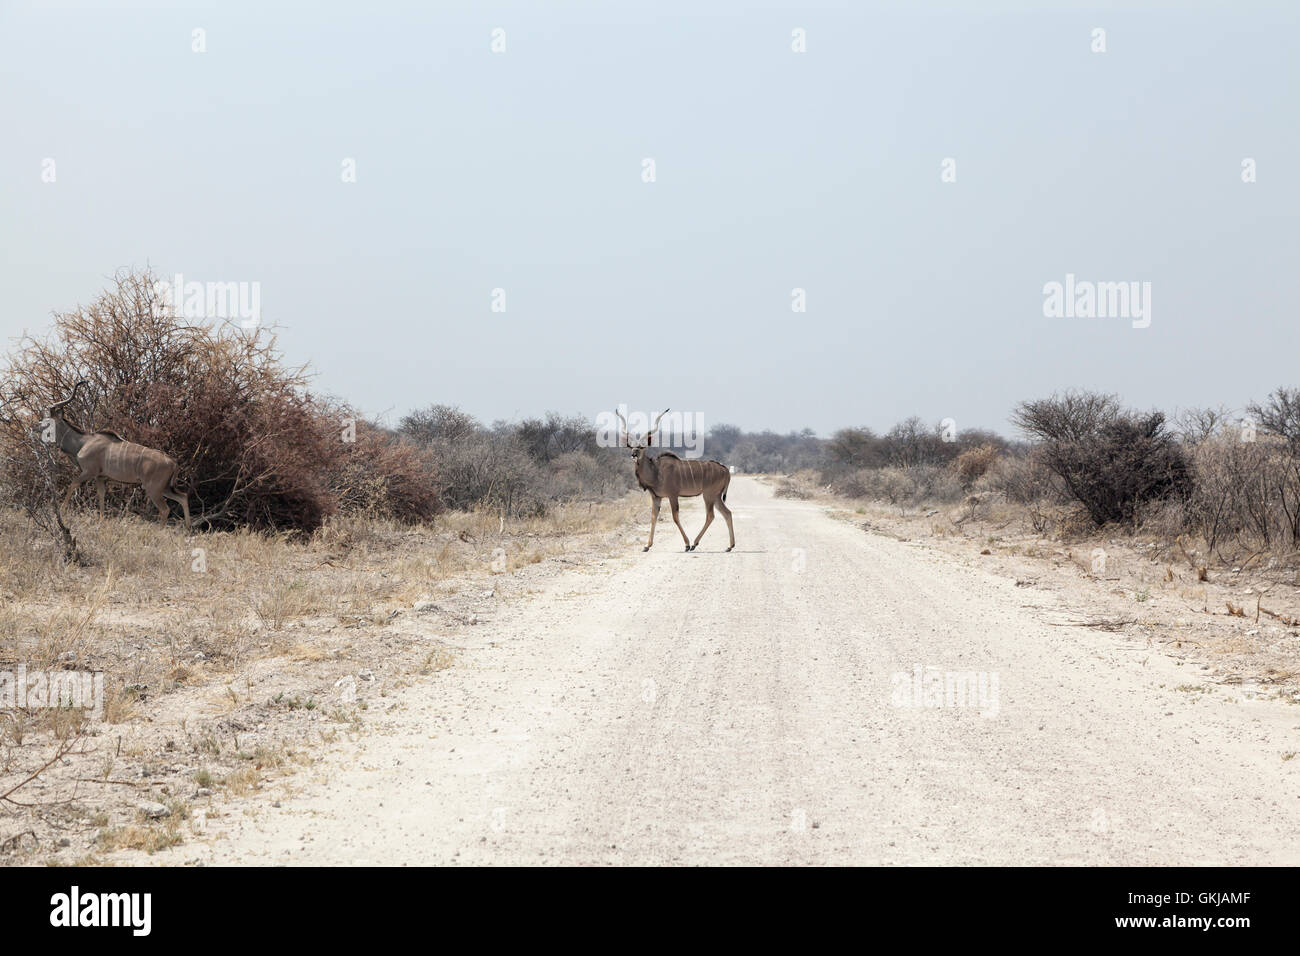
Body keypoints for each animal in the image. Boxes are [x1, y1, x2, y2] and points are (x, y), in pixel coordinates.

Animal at [44, 382, 189, 530]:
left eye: (47, 422)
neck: (83, 442)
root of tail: (173, 462)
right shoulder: (101, 477)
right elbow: (101, 495)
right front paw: (101, 520)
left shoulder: (89, 472)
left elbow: (72, 484)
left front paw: (62, 511)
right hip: (165, 488)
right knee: (183, 497)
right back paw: (188, 529)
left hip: (153, 488)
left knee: (165, 509)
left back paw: (160, 530)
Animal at [616, 403, 733, 554]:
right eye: (630, 446)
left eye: (641, 447)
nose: (633, 454)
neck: (656, 472)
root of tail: (726, 470)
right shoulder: (656, 497)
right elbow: (653, 517)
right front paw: (647, 546)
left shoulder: (672, 495)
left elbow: (675, 517)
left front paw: (686, 545)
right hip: (716, 496)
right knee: (727, 513)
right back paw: (729, 546)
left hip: (708, 495)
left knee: (710, 515)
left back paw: (694, 543)